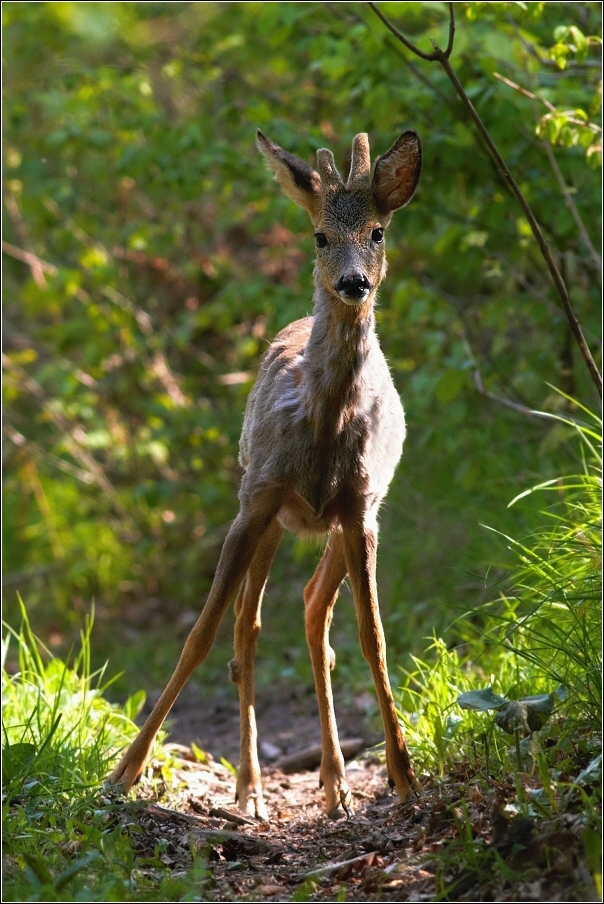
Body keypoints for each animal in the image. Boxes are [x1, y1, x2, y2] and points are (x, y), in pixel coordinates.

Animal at [108, 127, 422, 820]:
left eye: (378, 231)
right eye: (319, 237)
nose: (354, 282)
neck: (323, 426)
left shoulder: (360, 507)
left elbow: (374, 638)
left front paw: (406, 777)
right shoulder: (256, 499)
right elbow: (201, 633)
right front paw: (124, 772)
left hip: (342, 519)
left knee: (312, 611)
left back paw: (334, 783)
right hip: (271, 509)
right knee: (246, 625)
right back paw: (249, 786)